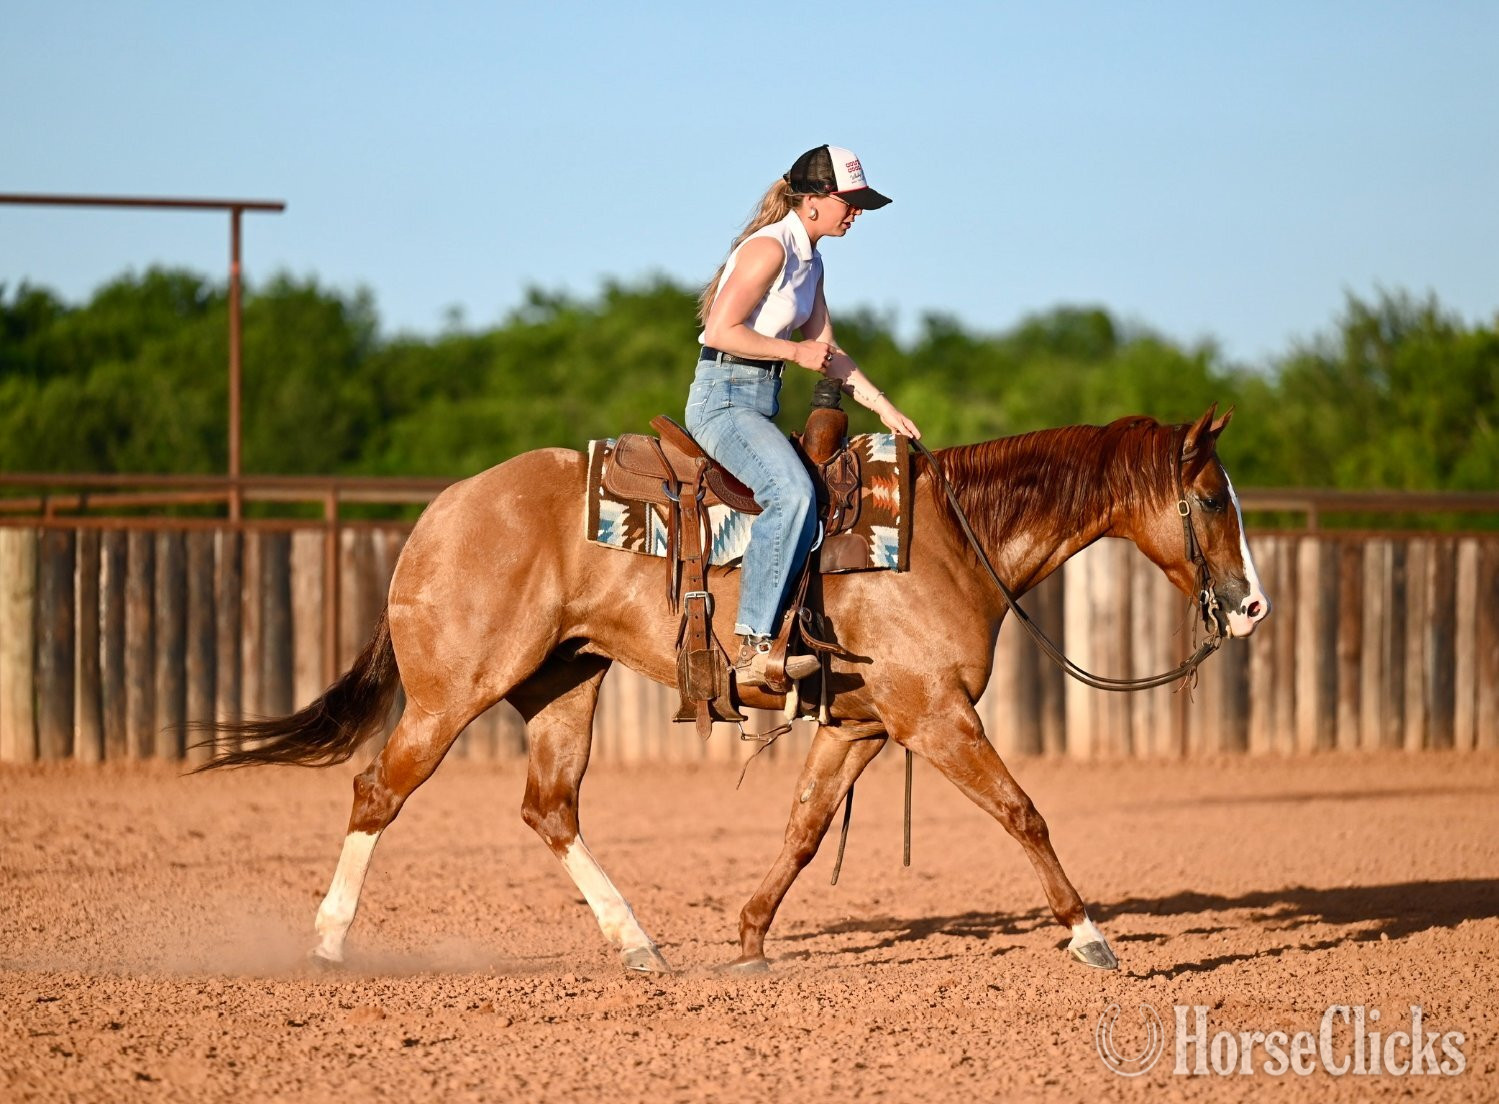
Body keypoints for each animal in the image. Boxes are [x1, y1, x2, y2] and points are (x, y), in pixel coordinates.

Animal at [199, 404, 1269, 974]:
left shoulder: (863, 726)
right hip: (451, 692)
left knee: (549, 809)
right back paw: (329, 944)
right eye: (1209, 497)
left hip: (563, 686)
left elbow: (802, 831)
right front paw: (1089, 935)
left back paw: (639, 946)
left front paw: (750, 939)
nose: (1252, 605)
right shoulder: (933, 715)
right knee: (378, 791)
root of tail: (442, 510)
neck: (948, 540)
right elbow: (1023, 811)